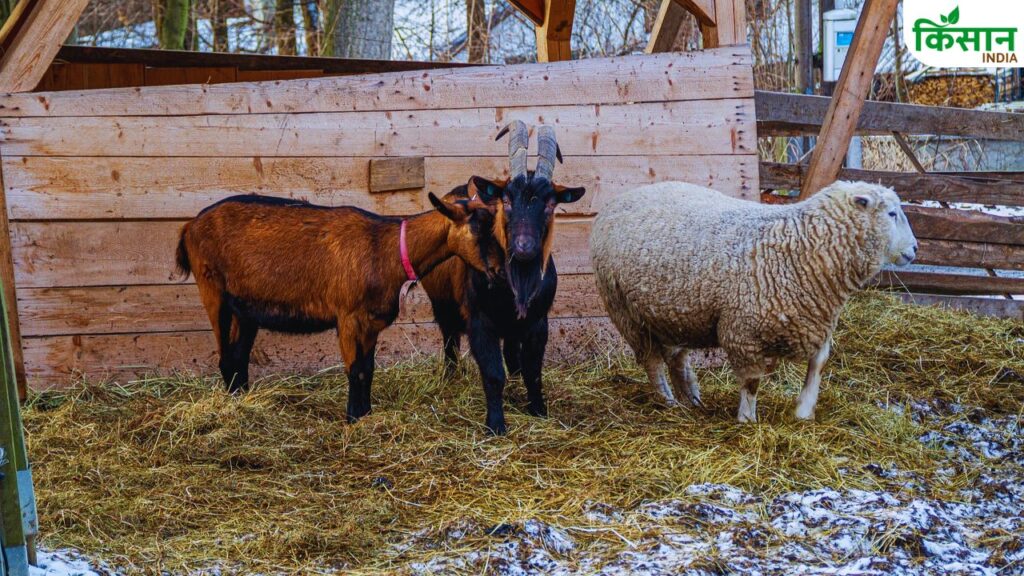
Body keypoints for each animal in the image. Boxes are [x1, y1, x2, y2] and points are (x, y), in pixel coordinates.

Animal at [175, 192, 502, 423]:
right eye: (477, 230)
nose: (499, 271)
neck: (385, 250)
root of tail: (190, 226)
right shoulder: (348, 317)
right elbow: (355, 370)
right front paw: (352, 418)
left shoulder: (370, 322)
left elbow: (368, 369)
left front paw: (365, 413)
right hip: (214, 291)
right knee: (226, 357)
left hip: (245, 309)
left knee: (239, 356)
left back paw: (243, 400)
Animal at [421, 122, 586, 435]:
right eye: (507, 199)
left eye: (550, 204)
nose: (524, 247)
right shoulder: (479, 320)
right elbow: (493, 374)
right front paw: (495, 424)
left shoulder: (537, 321)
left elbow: (533, 371)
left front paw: (538, 410)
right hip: (442, 304)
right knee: (449, 341)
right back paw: (451, 377)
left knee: (511, 351)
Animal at [590, 180, 918, 422]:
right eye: (891, 214)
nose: (914, 249)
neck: (803, 246)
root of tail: (620, 199)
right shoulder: (743, 332)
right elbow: (751, 382)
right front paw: (747, 419)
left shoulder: (813, 320)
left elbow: (819, 363)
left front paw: (804, 410)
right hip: (627, 315)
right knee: (653, 363)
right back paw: (668, 401)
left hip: (672, 314)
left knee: (677, 359)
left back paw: (692, 399)